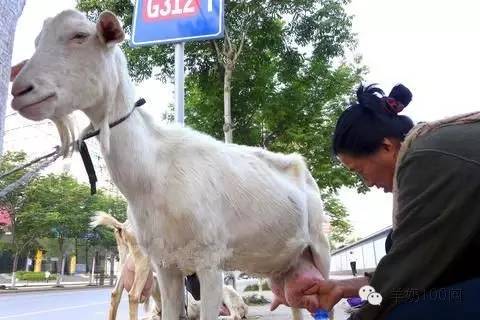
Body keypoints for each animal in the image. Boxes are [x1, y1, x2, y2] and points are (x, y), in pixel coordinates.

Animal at [13, 10, 332, 320]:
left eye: (79, 35)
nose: (19, 90)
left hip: (321, 247)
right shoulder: (164, 263)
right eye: (37, 41)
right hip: (284, 266)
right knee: (295, 305)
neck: (153, 172)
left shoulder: (209, 260)